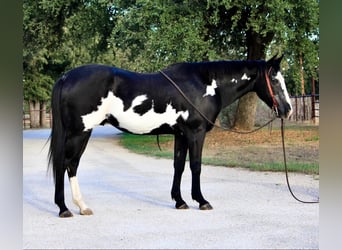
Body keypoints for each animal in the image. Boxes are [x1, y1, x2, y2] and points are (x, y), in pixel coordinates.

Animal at [48, 54, 292, 217]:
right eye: (275, 80)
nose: (287, 110)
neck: (205, 84)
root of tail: (66, 77)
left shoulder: (181, 134)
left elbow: (179, 166)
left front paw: (180, 201)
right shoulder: (195, 133)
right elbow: (196, 166)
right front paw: (201, 201)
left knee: (70, 165)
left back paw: (80, 206)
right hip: (80, 132)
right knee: (66, 164)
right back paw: (65, 208)